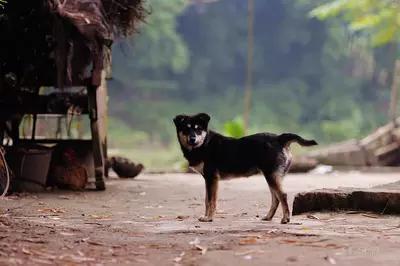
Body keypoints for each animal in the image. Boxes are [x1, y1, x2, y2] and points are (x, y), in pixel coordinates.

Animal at [173, 113, 318, 223]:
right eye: (186, 129)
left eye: (198, 129)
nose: (192, 139)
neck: (204, 144)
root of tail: (279, 138)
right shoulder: (208, 179)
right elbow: (206, 200)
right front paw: (206, 216)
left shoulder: (212, 178)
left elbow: (211, 200)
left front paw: (208, 218)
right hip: (272, 176)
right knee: (275, 198)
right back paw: (268, 217)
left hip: (271, 175)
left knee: (282, 195)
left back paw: (286, 218)